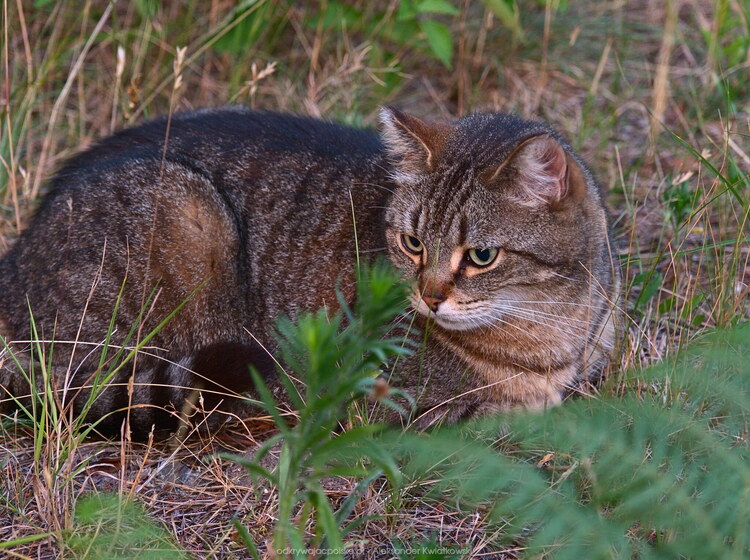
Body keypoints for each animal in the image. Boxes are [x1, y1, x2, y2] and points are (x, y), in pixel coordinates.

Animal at [0, 106, 624, 438]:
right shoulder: (392, 402)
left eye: (481, 256)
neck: (549, 330)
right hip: (185, 214)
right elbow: (516, 410)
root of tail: (16, 256)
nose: (429, 298)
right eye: (413, 243)